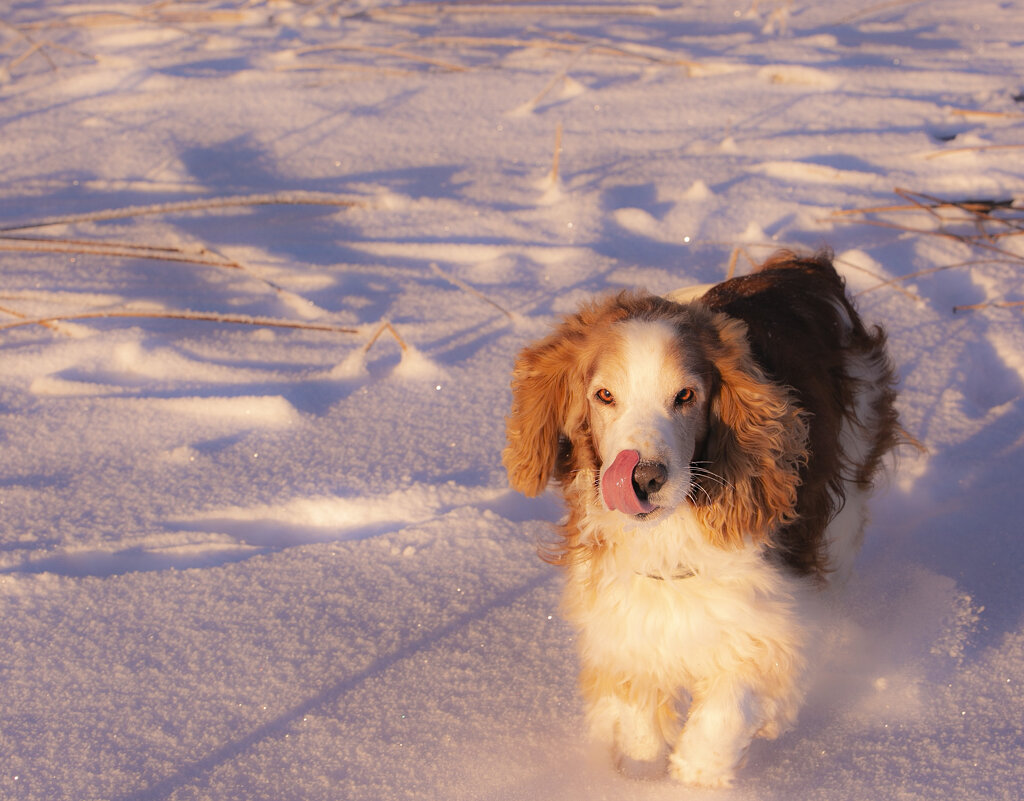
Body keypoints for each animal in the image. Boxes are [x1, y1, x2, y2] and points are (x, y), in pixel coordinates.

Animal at [501, 253, 897, 790]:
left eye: (686, 395)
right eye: (604, 395)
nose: (643, 477)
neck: (669, 531)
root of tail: (804, 265)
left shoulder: (762, 614)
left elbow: (729, 705)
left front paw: (697, 774)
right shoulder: (627, 616)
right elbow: (637, 711)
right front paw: (640, 770)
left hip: (848, 486)